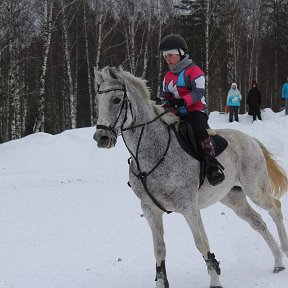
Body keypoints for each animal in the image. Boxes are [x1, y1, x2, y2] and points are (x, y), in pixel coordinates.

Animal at [94, 66, 288, 288]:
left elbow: (202, 243)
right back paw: (277, 261)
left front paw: (215, 281)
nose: (101, 138)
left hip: (255, 189)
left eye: (117, 100)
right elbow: (159, 249)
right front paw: (161, 283)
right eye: (98, 101)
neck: (152, 153)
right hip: (233, 197)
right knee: (258, 222)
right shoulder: (150, 210)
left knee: (275, 208)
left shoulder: (189, 207)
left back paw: (284, 250)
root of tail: (251, 139)